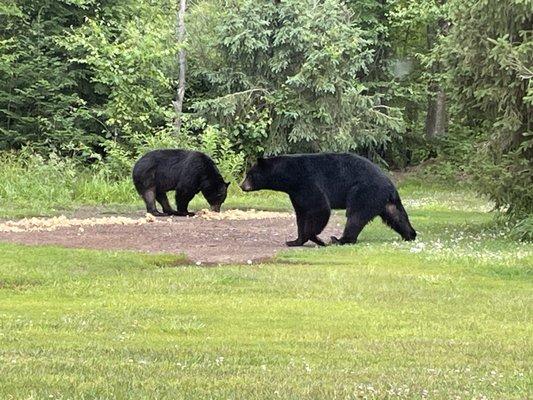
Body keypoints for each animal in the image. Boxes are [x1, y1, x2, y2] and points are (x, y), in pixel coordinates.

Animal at [240, 153, 416, 247]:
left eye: (249, 174)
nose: (242, 185)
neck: (289, 176)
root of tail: (390, 185)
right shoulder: (296, 194)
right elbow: (301, 214)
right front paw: (295, 240)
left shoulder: (307, 182)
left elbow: (320, 208)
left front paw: (315, 238)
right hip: (385, 201)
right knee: (396, 216)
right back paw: (410, 235)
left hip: (364, 192)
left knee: (355, 216)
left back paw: (340, 239)